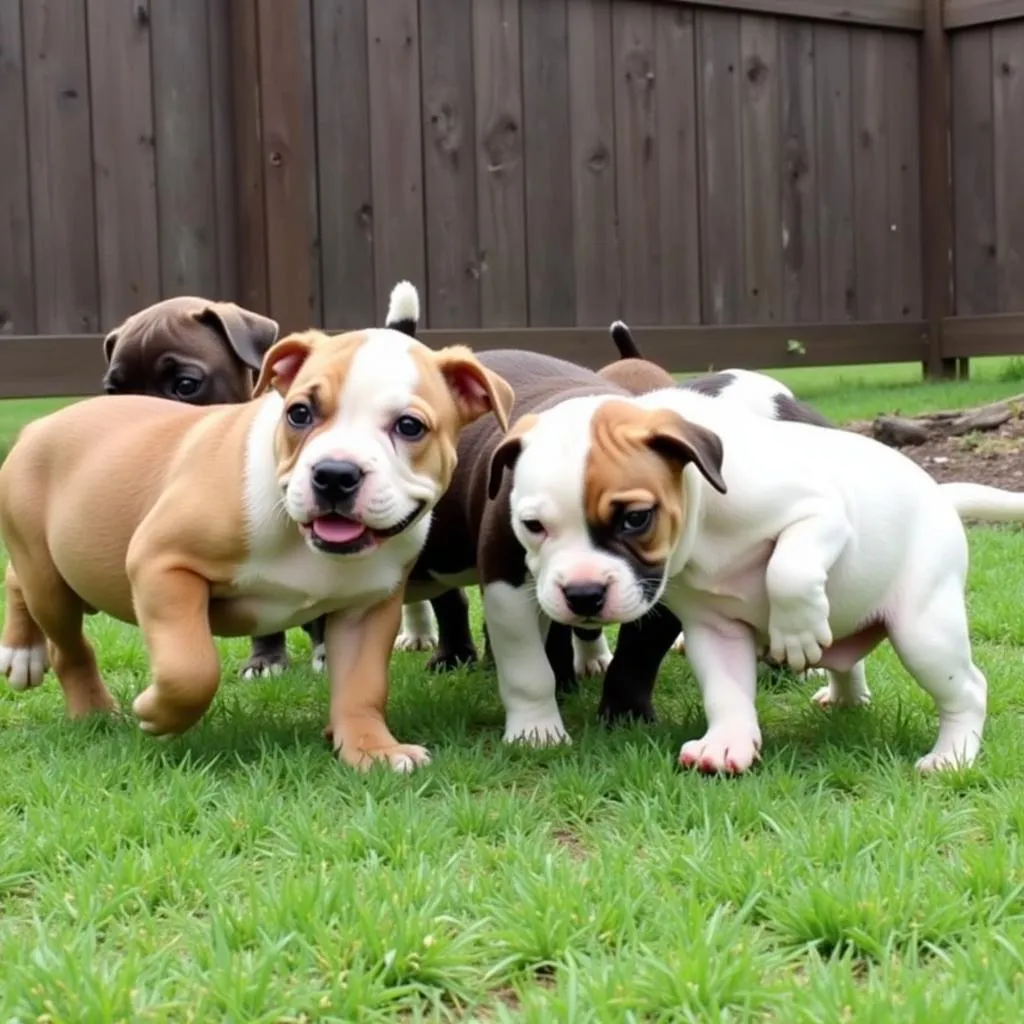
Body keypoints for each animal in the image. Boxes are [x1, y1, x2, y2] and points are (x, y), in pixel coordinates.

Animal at [487, 387, 1024, 770]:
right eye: (532, 526)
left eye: (636, 518)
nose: (583, 594)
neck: (704, 518)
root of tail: (939, 494)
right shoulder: (715, 630)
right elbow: (727, 691)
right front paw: (728, 743)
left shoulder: (821, 511)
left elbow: (788, 567)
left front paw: (794, 630)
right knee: (847, 656)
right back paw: (844, 697)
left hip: (924, 630)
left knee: (967, 688)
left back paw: (951, 756)